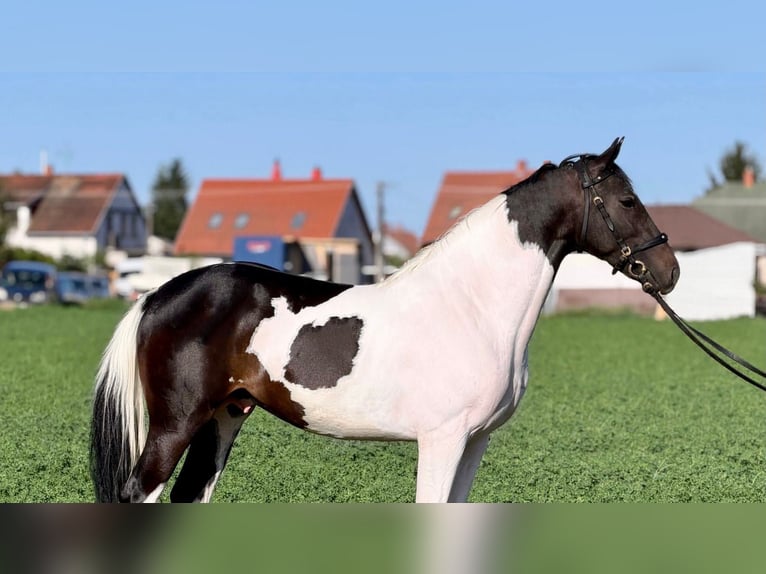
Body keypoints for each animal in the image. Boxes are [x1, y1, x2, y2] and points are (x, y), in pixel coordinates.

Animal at [90, 137, 680, 503]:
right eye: (627, 200)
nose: (668, 272)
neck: (474, 307)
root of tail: (157, 296)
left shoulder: (475, 441)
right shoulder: (443, 439)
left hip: (225, 415)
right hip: (177, 423)